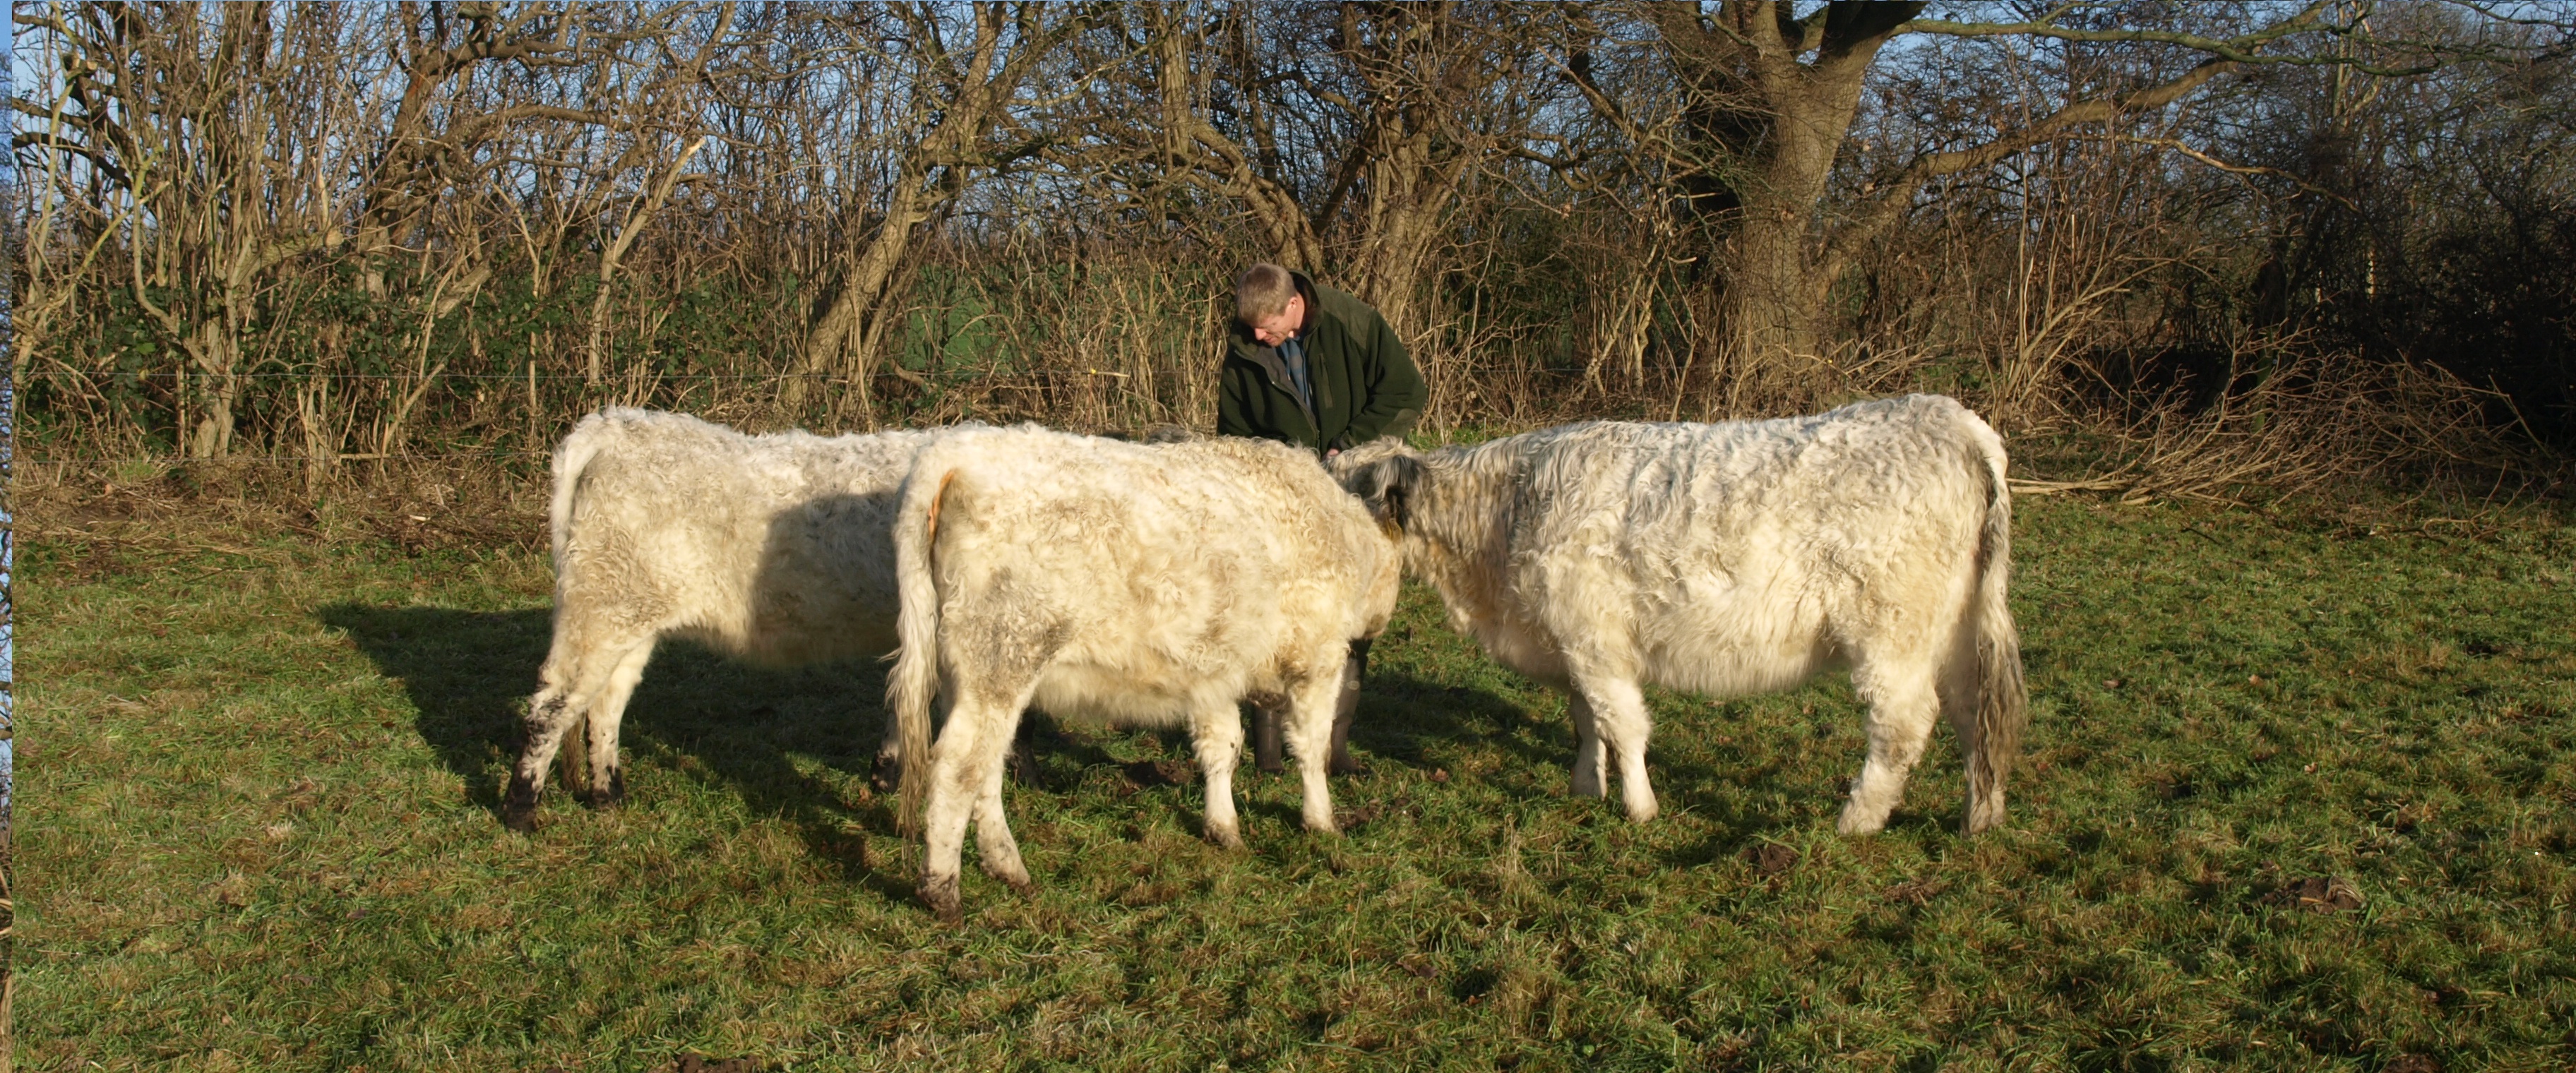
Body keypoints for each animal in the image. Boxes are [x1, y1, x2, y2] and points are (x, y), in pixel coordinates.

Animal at [497, 406, 953, 834]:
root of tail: (613, 423)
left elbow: (907, 692)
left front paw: (886, 770)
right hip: (601, 607)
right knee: (552, 704)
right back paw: (520, 809)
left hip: (629, 614)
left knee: (605, 704)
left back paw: (608, 794)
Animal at [891, 421, 1412, 916]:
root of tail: (956, 451)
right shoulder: (1317, 659)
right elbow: (1312, 747)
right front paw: (1321, 821)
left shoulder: (1213, 671)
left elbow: (1221, 746)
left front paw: (1223, 827)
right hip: (1003, 659)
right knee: (960, 768)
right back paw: (943, 889)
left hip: (969, 675)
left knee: (988, 766)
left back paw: (1006, 865)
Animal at [1329, 393, 2029, 834]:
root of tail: (1955, 419)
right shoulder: (1575, 638)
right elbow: (1588, 720)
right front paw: (1587, 787)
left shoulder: (1594, 635)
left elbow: (1622, 722)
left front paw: (1639, 807)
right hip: (1956, 629)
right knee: (1976, 712)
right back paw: (1981, 815)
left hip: (1892, 631)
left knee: (1904, 725)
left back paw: (1856, 820)